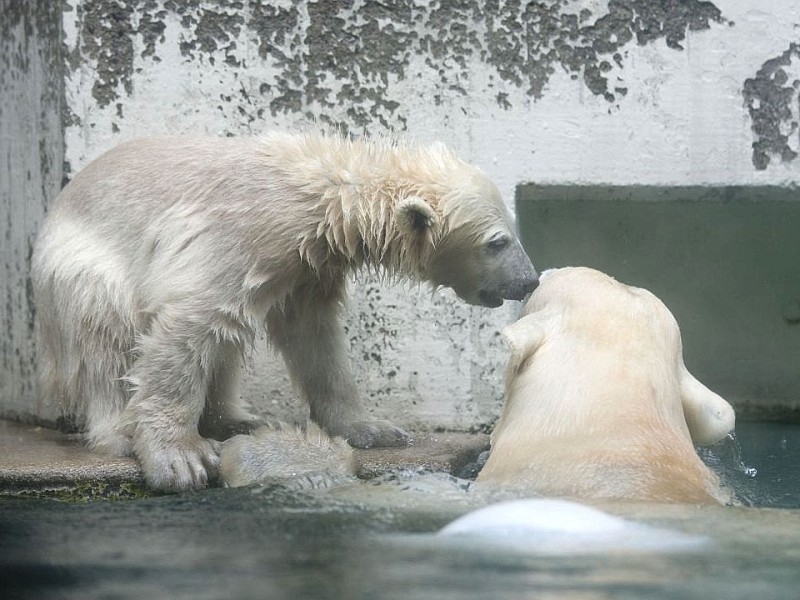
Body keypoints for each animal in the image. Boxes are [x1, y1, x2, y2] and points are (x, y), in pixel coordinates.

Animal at [34, 132, 540, 492]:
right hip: (81, 268)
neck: (325, 197)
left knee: (227, 343)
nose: (530, 280)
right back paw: (122, 431)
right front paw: (179, 458)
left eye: (513, 232)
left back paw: (238, 418)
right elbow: (191, 321)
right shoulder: (240, 235)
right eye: (498, 241)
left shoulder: (306, 265)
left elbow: (314, 338)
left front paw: (374, 429)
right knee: (106, 337)